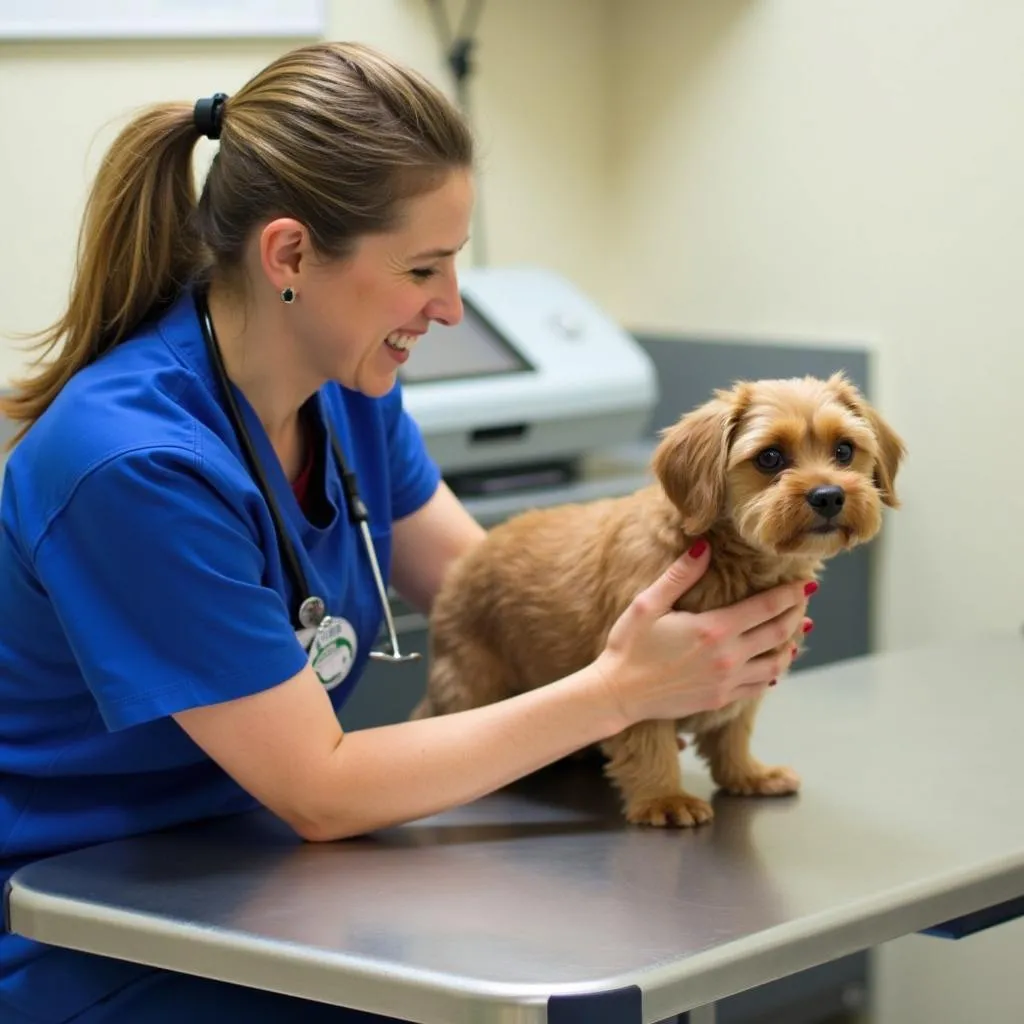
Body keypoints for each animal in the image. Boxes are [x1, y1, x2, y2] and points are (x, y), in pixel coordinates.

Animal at [409, 372, 905, 827]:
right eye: (769, 457)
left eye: (844, 450)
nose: (829, 495)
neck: (731, 562)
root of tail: (460, 570)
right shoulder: (645, 685)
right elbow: (650, 743)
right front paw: (664, 798)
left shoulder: (749, 676)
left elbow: (734, 730)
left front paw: (746, 773)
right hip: (469, 682)